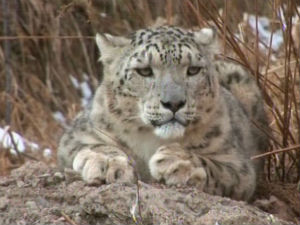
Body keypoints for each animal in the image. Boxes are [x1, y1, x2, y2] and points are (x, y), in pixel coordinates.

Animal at [57, 25, 268, 201]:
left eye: (193, 70)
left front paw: (176, 161)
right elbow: (94, 146)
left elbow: (217, 168)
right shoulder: (77, 134)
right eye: (144, 71)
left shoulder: (239, 164)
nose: (174, 103)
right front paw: (108, 163)